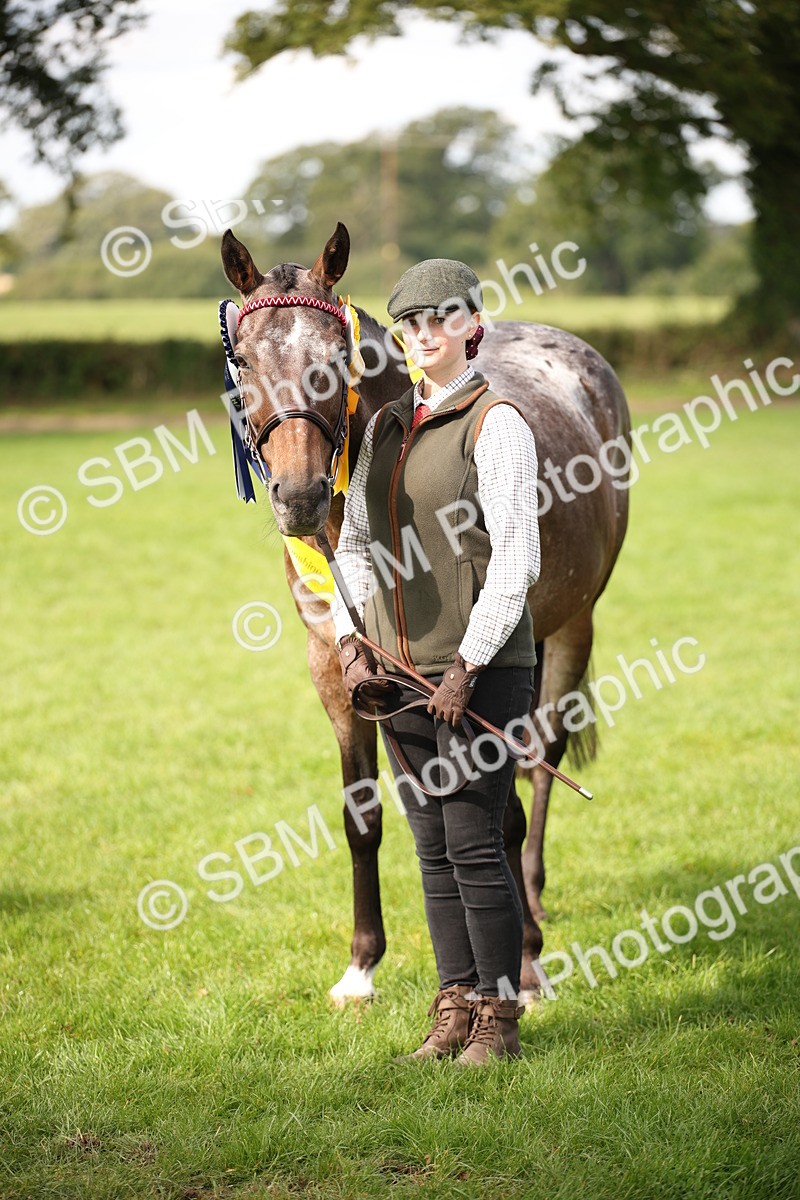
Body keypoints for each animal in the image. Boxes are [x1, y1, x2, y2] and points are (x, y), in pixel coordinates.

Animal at [220, 222, 631, 1003]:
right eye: (244, 360)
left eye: (337, 358)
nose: (299, 496)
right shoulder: (339, 669)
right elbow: (362, 815)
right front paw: (360, 967)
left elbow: (502, 810)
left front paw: (523, 963)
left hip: (575, 623)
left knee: (544, 764)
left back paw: (534, 906)